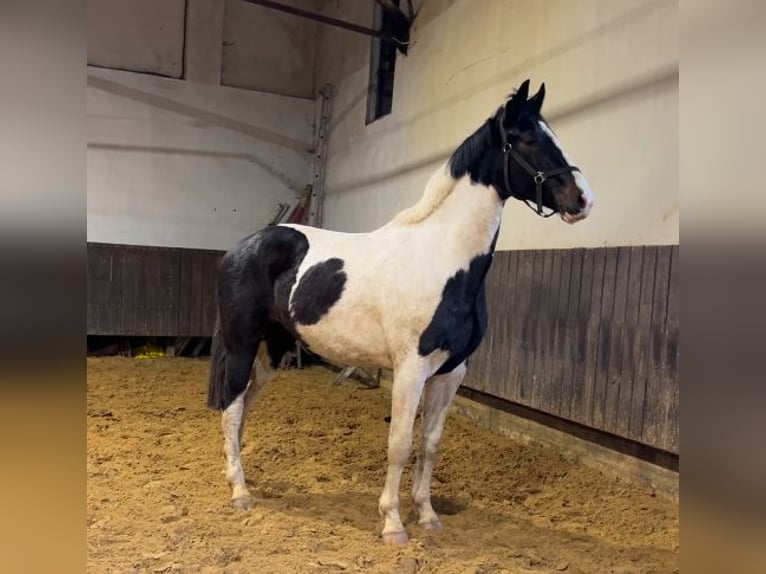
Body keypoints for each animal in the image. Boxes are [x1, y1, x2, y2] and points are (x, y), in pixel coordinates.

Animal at [207, 80, 596, 544]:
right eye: (528, 138)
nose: (583, 200)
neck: (443, 258)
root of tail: (240, 249)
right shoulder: (410, 370)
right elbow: (399, 444)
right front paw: (393, 522)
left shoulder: (451, 373)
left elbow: (430, 444)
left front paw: (427, 515)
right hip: (242, 345)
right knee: (231, 406)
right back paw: (240, 491)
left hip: (273, 352)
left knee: (243, 407)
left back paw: (243, 478)